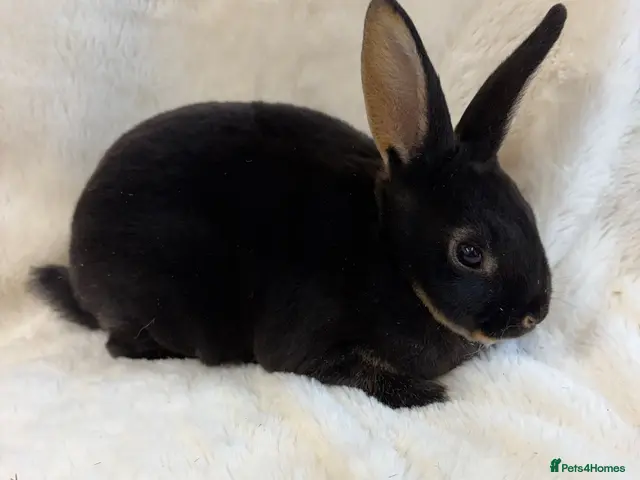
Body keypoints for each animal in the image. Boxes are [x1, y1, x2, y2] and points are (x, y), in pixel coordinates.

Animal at [30, 0, 566, 409]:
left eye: (528, 213)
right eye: (469, 253)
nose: (534, 314)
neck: (392, 259)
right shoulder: (310, 346)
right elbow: (357, 371)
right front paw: (426, 395)